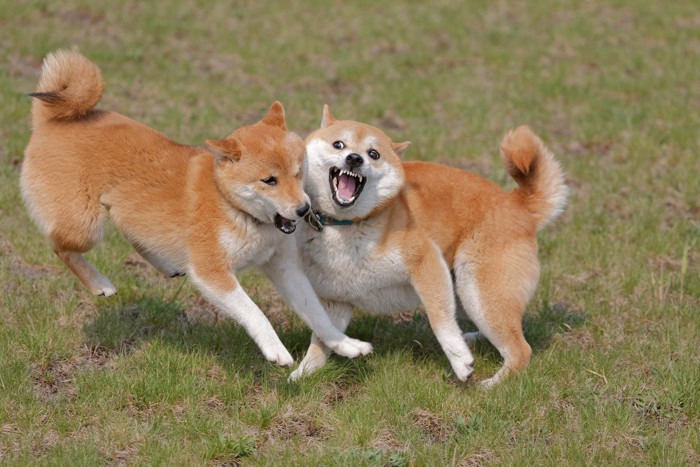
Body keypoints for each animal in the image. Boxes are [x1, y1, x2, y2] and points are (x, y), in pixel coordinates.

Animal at [20, 51, 372, 366]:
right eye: (269, 180)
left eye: (299, 172)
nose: (302, 209)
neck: (236, 209)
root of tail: (50, 122)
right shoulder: (213, 273)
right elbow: (254, 313)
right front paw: (276, 350)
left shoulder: (284, 268)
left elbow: (317, 314)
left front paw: (345, 344)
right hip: (86, 227)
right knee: (59, 246)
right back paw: (99, 283)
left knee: (132, 231)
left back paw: (164, 263)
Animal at [290, 106, 568, 388]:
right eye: (339, 144)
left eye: (374, 154)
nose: (354, 159)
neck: (347, 225)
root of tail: (518, 206)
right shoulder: (337, 300)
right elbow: (323, 339)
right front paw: (302, 374)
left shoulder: (426, 262)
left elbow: (440, 320)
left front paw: (460, 362)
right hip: (467, 292)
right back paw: (473, 339)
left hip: (477, 290)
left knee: (520, 349)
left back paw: (491, 383)